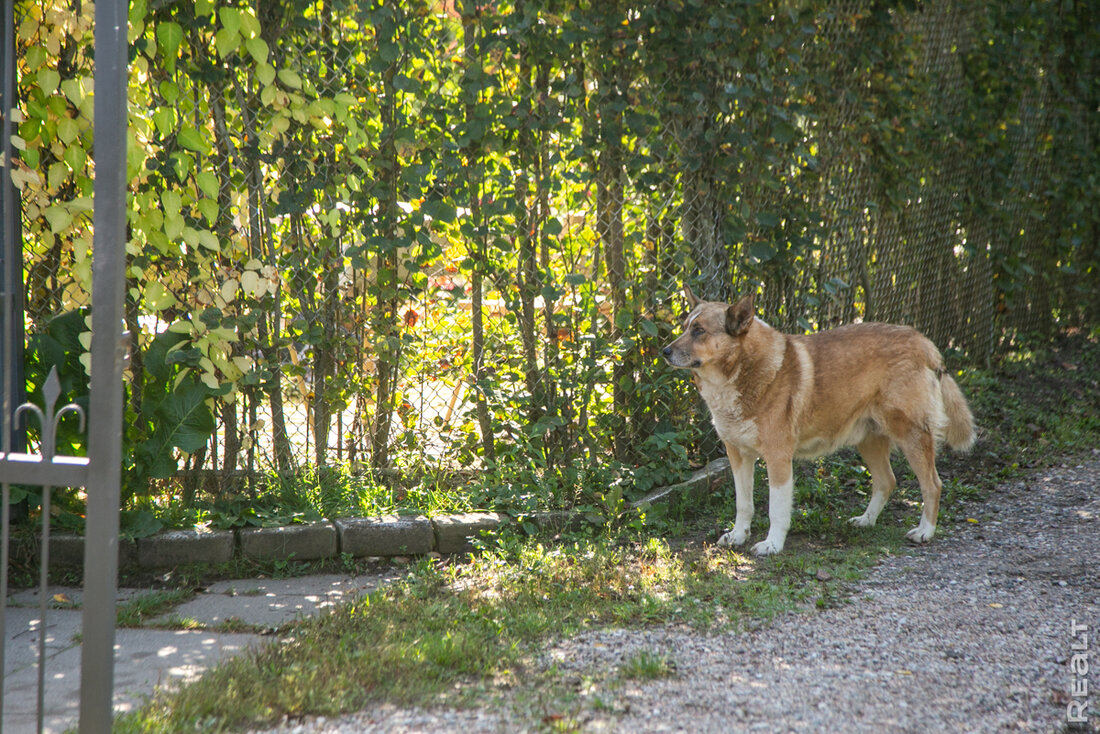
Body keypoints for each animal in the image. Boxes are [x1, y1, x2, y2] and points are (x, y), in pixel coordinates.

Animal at [664, 288, 976, 556]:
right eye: (685, 326)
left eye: (699, 330)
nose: (664, 352)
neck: (742, 370)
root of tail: (923, 341)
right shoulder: (738, 456)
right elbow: (744, 504)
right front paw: (738, 536)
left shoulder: (778, 458)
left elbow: (776, 509)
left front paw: (772, 545)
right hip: (870, 440)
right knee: (887, 481)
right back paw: (866, 520)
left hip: (911, 434)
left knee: (932, 485)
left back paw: (925, 531)